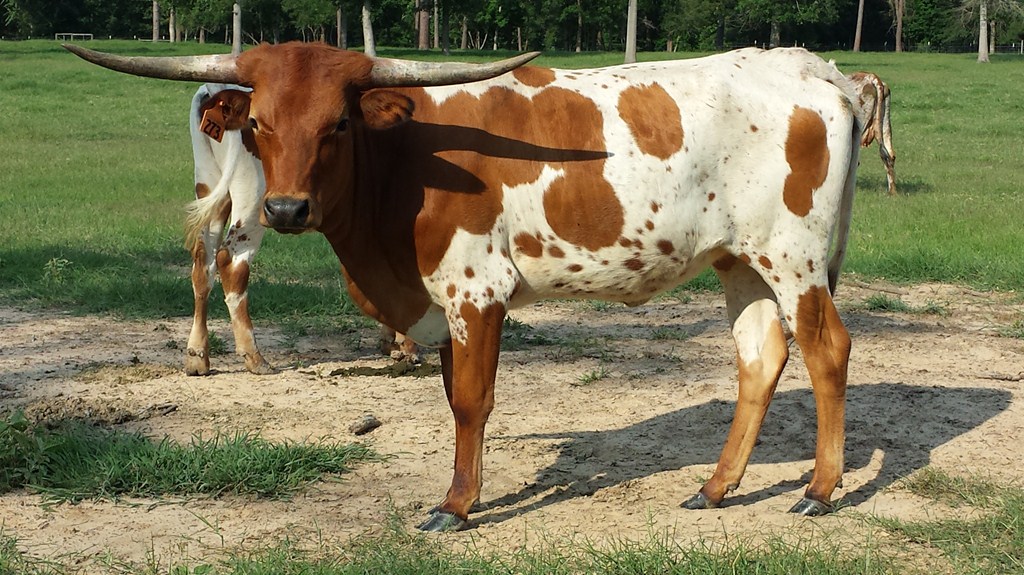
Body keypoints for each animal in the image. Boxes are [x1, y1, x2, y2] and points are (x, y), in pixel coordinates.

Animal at [184, 83, 419, 376]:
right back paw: (254, 357)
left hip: (209, 186)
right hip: (253, 199)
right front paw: (407, 347)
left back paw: (197, 355)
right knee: (231, 262)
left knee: (203, 262)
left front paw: (391, 342)